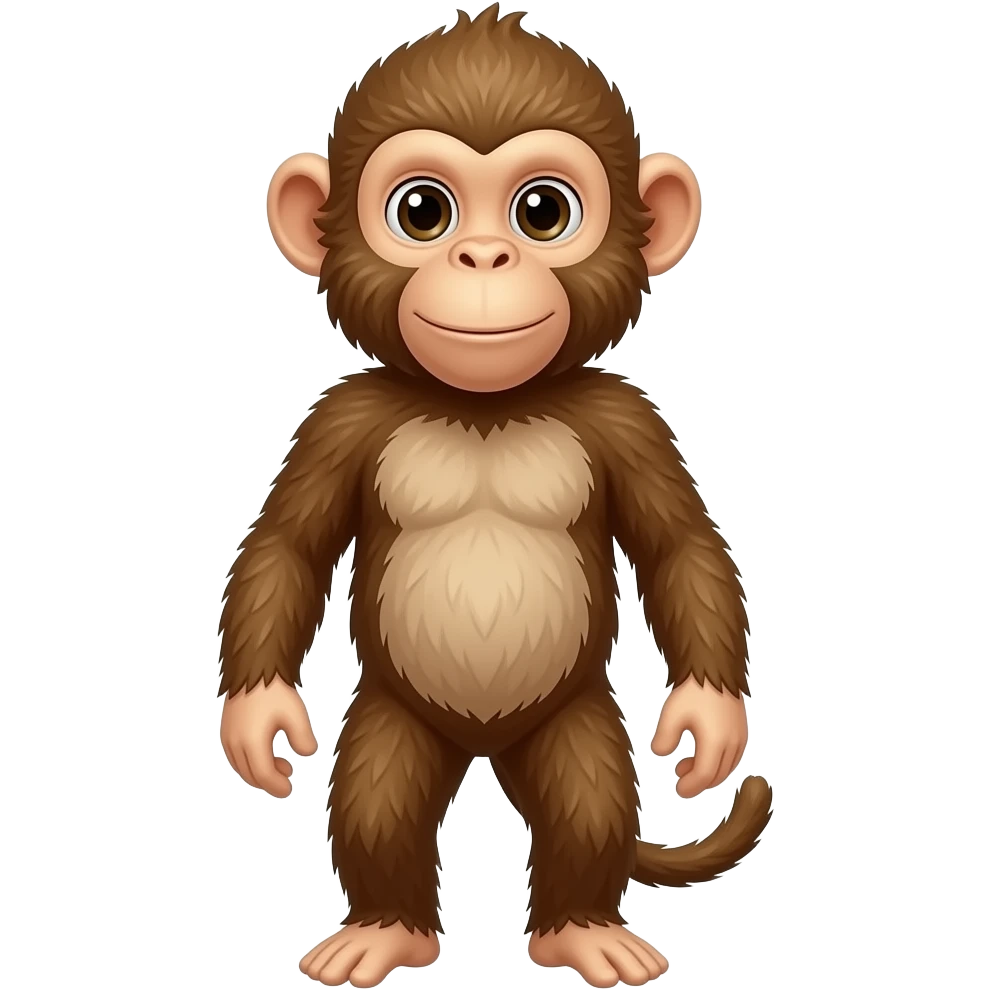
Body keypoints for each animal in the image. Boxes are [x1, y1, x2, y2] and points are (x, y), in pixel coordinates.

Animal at [219, 5, 773, 988]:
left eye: (543, 210)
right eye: (423, 211)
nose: (484, 254)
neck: (485, 406)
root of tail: (483, 745)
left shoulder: (627, 417)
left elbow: (680, 544)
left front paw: (708, 720)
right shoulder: (339, 418)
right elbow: (288, 543)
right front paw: (258, 718)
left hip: (574, 712)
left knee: (588, 794)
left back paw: (581, 929)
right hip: (395, 715)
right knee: (378, 795)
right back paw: (386, 928)